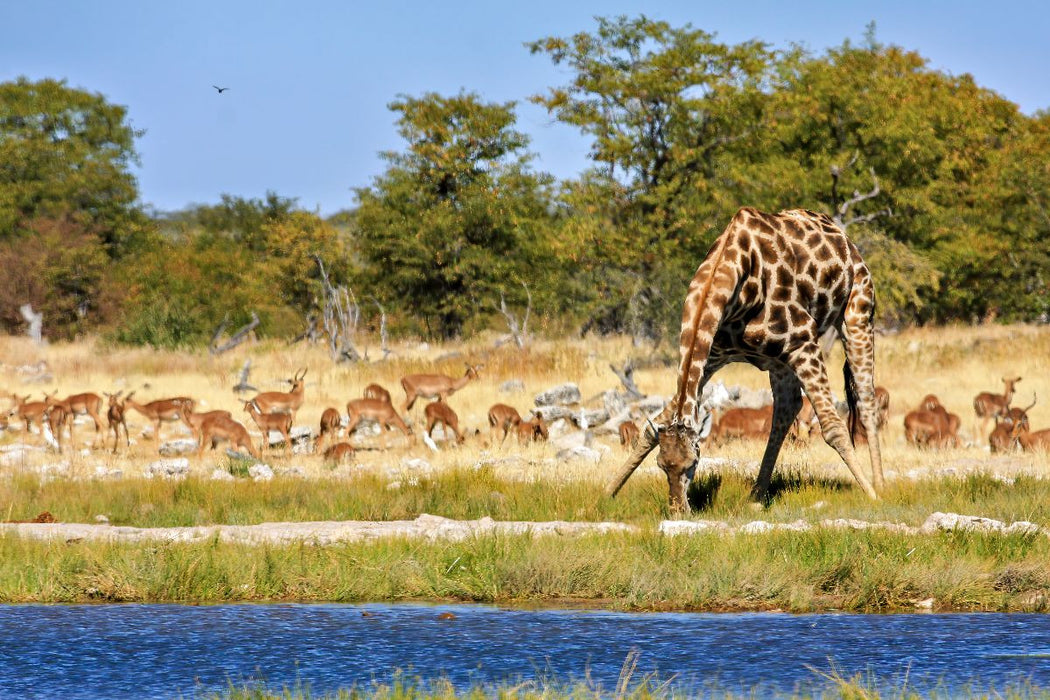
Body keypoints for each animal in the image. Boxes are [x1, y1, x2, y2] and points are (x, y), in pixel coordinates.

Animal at [607, 207, 884, 511]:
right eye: (661, 465)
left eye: (693, 464)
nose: (678, 509)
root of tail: (844, 239)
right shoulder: (712, 356)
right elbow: (656, 423)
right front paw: (607, 492)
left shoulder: (803, 341)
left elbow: (833, 427)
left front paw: (872, 495)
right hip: (778, 360)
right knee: (787, 408)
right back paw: (757, 496)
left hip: (858, 314)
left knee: (866, 400)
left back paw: (880, 484)